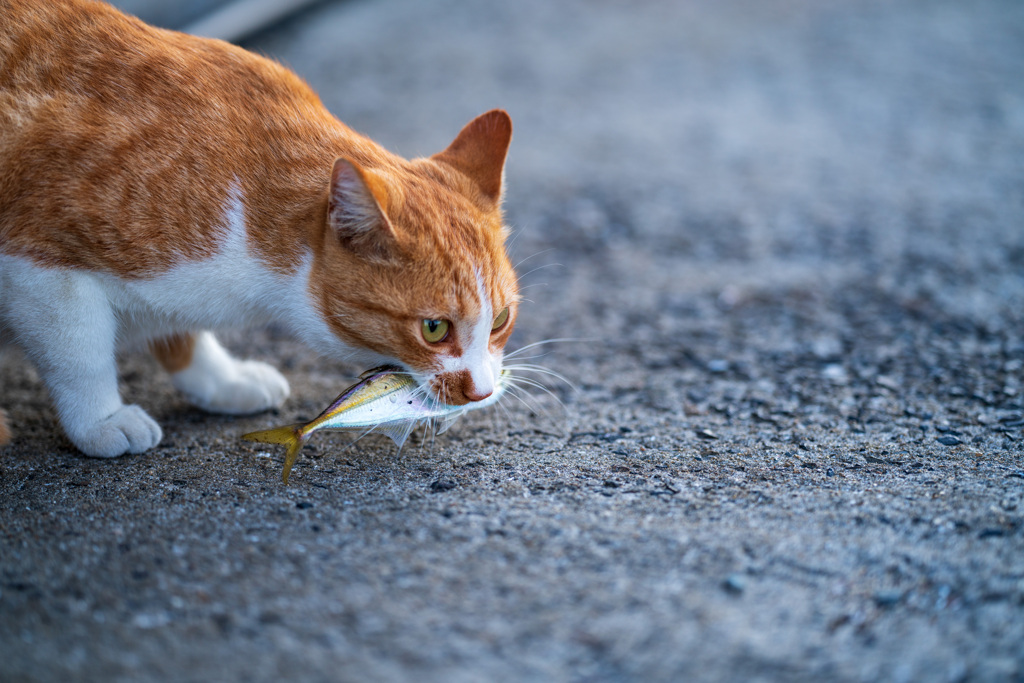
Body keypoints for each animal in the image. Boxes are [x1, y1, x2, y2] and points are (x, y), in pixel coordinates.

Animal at [0, 1, 516, 458]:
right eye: (434, 329)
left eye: (501, 320)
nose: (482, 392)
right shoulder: (38, 261)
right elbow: (79, 351)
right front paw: (100, 421)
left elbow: (179, 329)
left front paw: (219, 379)